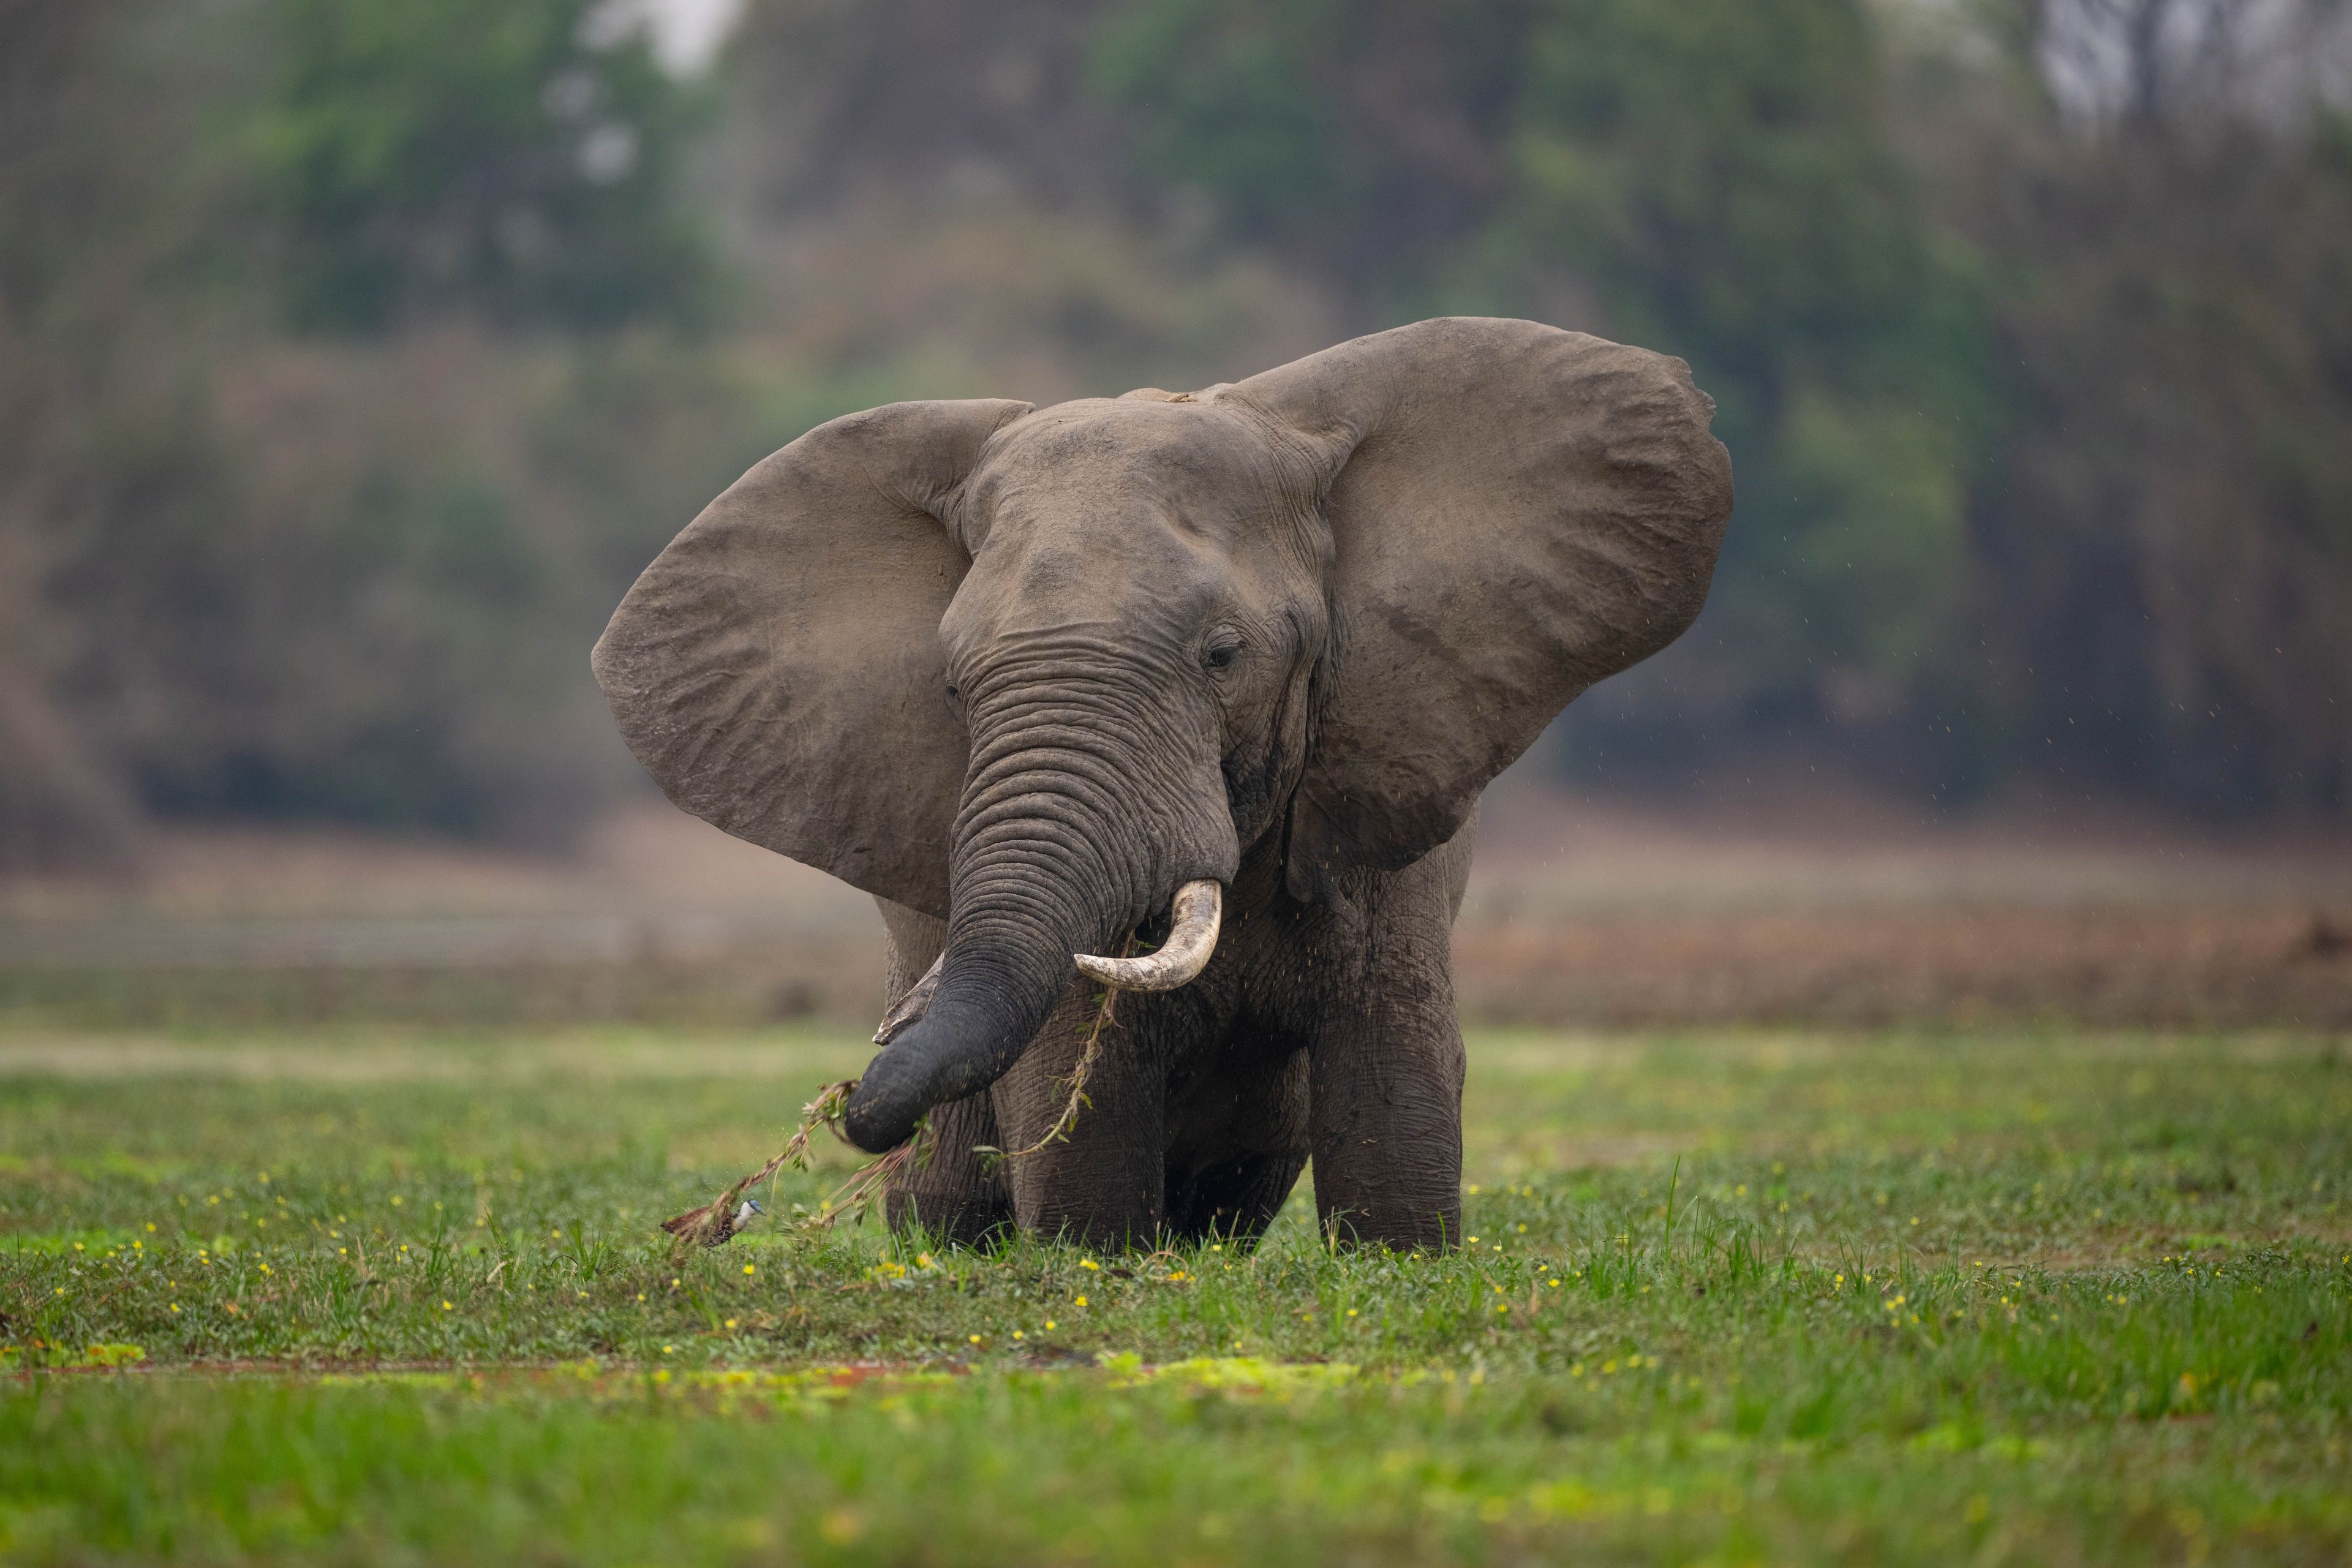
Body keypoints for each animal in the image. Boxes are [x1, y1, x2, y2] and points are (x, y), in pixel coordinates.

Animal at [592, 315, 1731, 1250]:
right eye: (954, 686)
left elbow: (1394, 1066)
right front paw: (1092, 1262)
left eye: (1223, 656)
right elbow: (1078, 1087)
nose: (849, 1105)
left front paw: (1403, 1258)